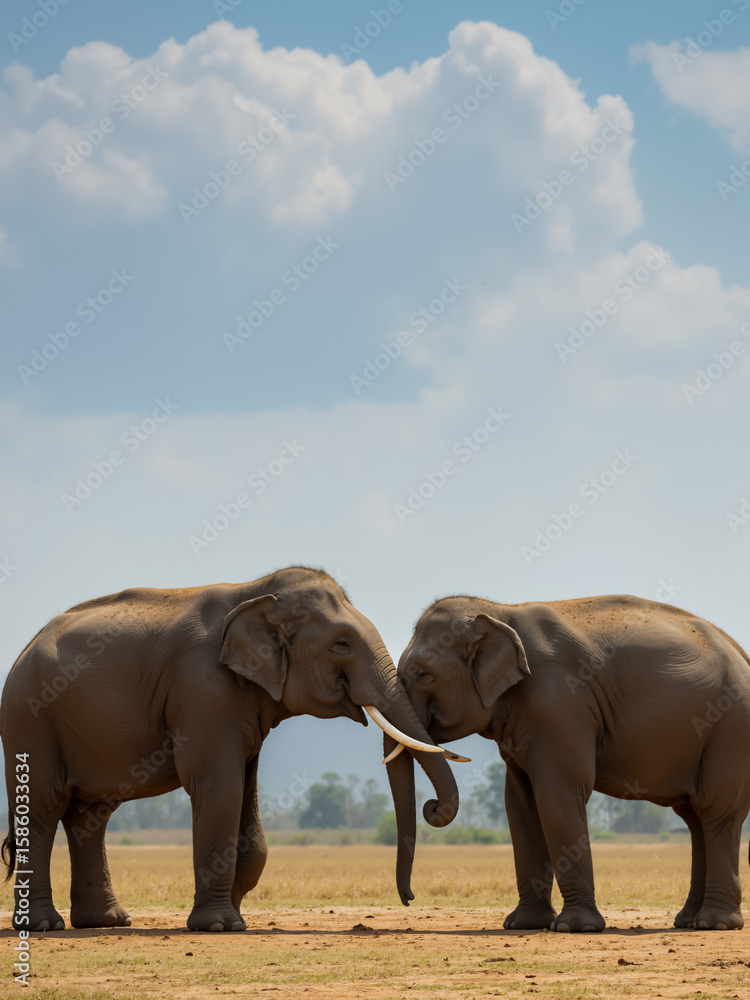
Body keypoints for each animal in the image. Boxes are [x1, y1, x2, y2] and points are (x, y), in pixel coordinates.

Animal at [1, 567, 458, 932]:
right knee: (43, 807)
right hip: (29, 719)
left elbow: (246, 796)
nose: (409, 899)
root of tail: (24, 649)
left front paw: (235, 916)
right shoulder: (203, 688)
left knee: (90, 816)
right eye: (341, 644)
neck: (255, 592)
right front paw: (220, 925)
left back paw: (106, 921)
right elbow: (219, 787)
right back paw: (42, 925)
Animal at [388, 593, 750, 932]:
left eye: (422, 674)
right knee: (694, 818)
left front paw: (576, 927)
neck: (500, 612)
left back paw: (714, 923)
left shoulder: (558, 702)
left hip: (731, 728)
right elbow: (520, 804)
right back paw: (688, 921)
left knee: (716, 811)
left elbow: (557, 795)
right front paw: (523, 924)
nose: (409, 899)